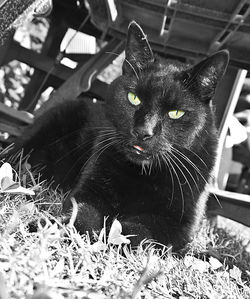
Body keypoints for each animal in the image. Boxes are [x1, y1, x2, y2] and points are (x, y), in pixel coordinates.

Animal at [11, 21, 229, 251]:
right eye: (134, 98)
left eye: (175, 113)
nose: (143, 132)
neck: (142, 175)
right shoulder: (89, 192)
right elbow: (81, 214)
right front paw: (47, 229)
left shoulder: (177, 225)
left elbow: (138, 230)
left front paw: (113, 239)